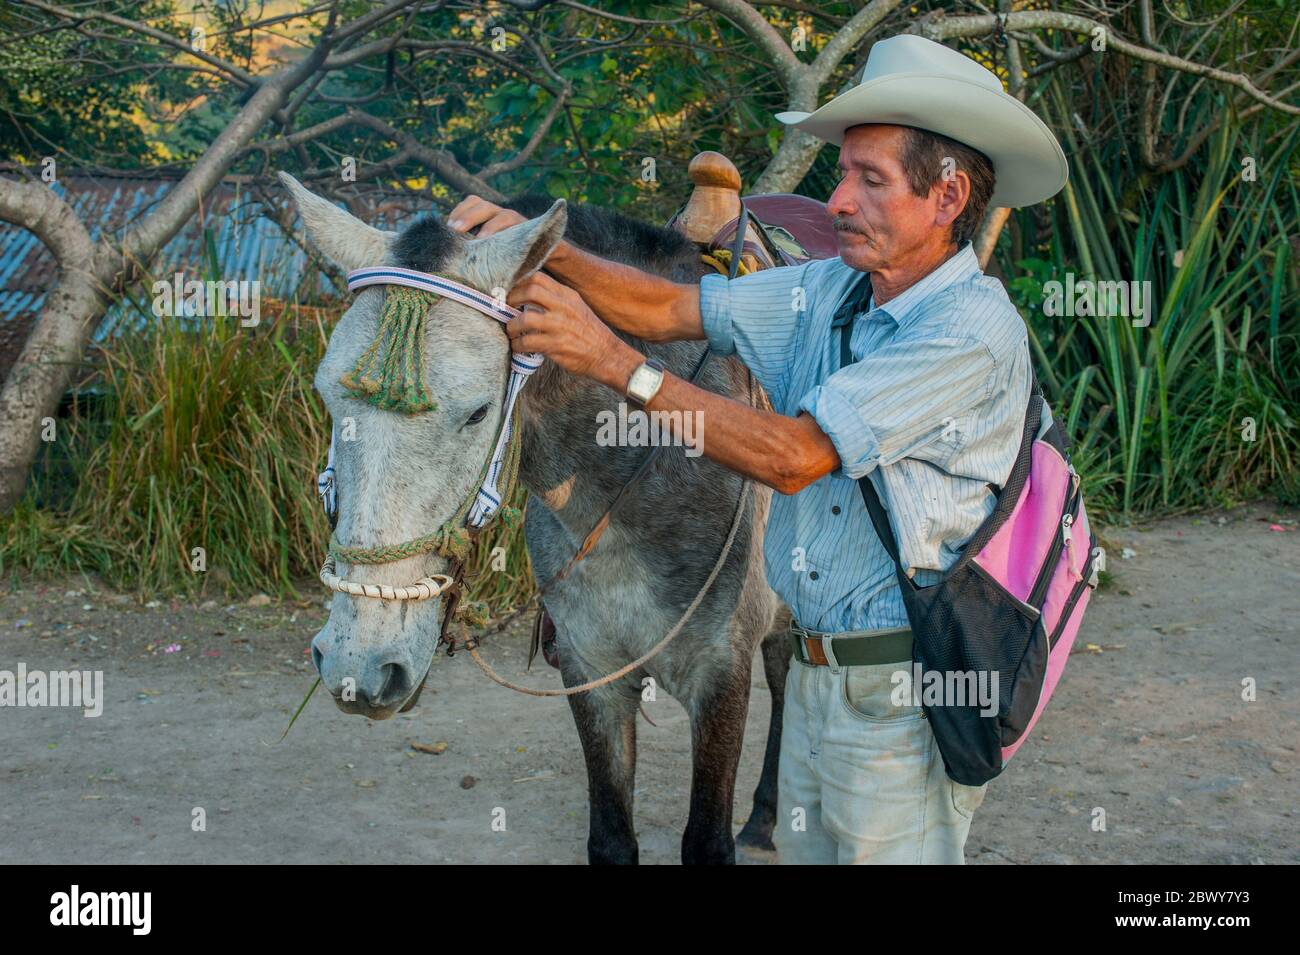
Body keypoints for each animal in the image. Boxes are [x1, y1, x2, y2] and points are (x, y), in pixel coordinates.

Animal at [283, 174, 785, 867]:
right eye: (327, 398)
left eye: (477, 412)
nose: (360, 665)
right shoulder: (589, 671)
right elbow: (611, 839)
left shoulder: (722, 675)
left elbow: (706, 841)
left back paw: (763, 817)